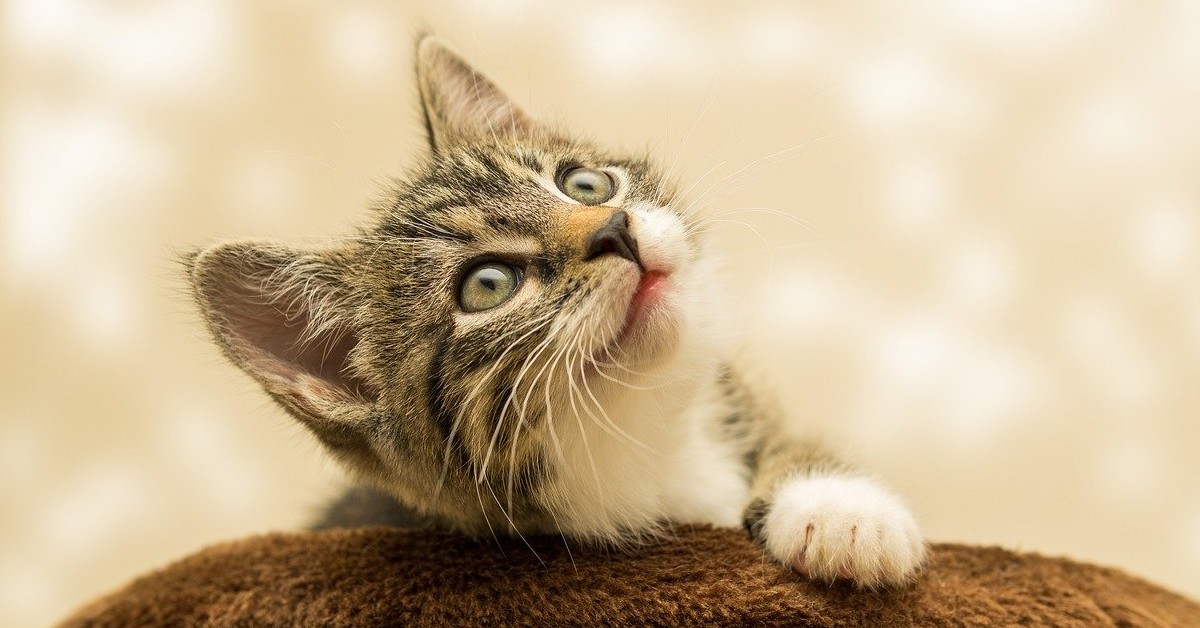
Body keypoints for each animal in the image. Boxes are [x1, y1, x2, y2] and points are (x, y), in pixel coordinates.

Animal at [192, 35, 926, 590]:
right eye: (487, 284)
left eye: (585, 184)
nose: (616, 229)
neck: (651, 443)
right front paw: (842, 520)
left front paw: (841, 510)